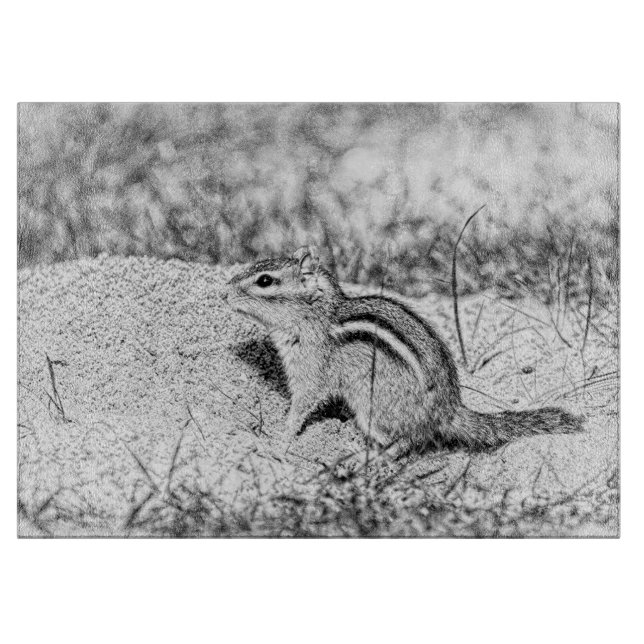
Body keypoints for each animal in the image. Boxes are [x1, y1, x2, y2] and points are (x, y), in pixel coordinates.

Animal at [224, 245, 583, 460]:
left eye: (265, 280)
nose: (224, 292)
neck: (316, 315)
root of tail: (448, 411)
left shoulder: (310, 370)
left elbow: (301, 406)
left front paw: (279, 439)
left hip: (371, 407)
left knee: (407, 441)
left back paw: (367, 459)